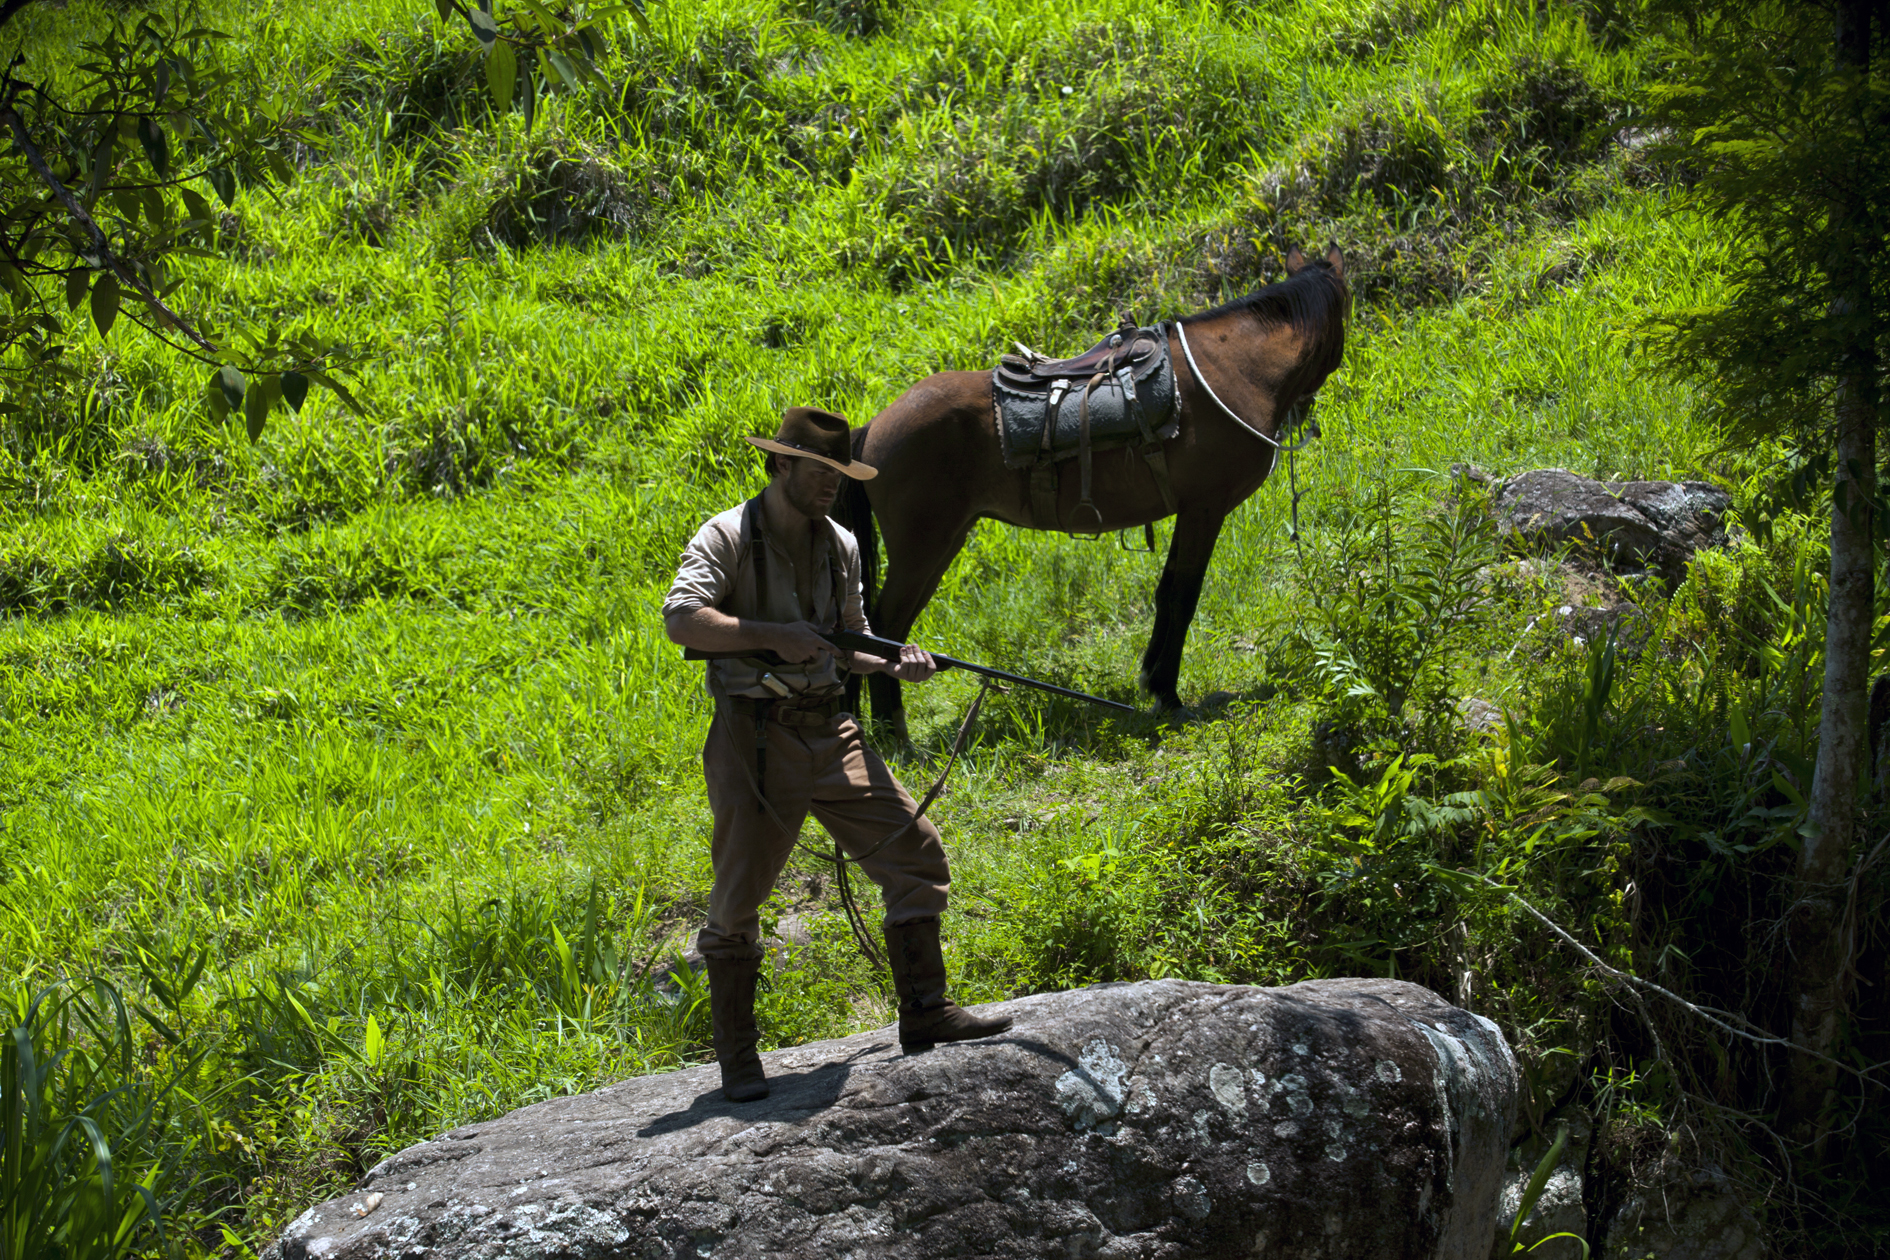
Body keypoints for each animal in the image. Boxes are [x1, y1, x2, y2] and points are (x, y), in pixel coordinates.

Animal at [839, 243, 1345, 732]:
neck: (1233, 368)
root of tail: (872, 428)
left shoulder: (1188, 510)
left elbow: (1165, 591)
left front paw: (1151, 679)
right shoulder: (1205, 508)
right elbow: (1184, 595)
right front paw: (1168, 694)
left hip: (944, 543)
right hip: (923, 548)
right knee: (884, 624)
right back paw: (893, 731)